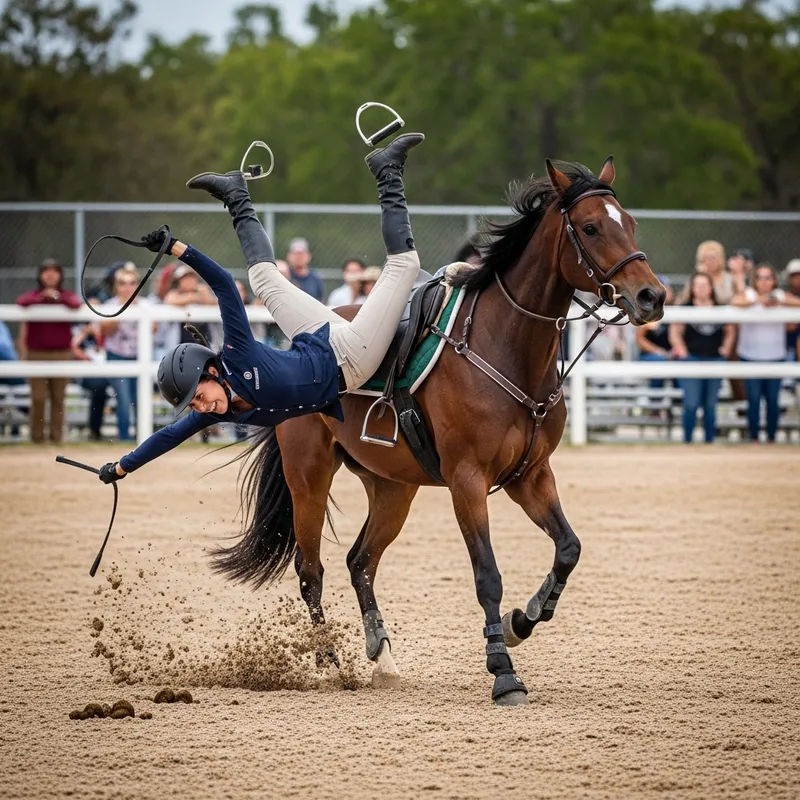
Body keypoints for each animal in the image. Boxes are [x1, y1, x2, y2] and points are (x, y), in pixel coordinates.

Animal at [213, 157, 666, 705]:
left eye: (632, 223)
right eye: (592, 227)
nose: (652, 296)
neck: (504, 346)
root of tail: (299, 342)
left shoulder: (531, 476)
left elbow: (569, 549)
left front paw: (522, 619)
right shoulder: (467, 481)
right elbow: (487, 575)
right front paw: (503, 671)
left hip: (393, 487)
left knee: (361, 561)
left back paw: (381, 653)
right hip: (310, 478)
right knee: (311, 570)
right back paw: (329, 659)